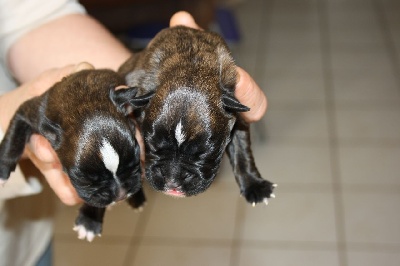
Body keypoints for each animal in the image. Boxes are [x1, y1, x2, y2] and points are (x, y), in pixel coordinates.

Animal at [0, 69, 147, 242]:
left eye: (135, 163)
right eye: (86, 181)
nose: (121, 194)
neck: (83, 100)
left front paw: (89, 222)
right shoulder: (27, 112)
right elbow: (13, 139)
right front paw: (2, 170)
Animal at [117, 26, 276, 206]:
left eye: (205, 152)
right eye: (152, 144)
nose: (172, 182)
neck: (190, 66)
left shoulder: (238, 117)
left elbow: (242, 152)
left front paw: (255, 186)